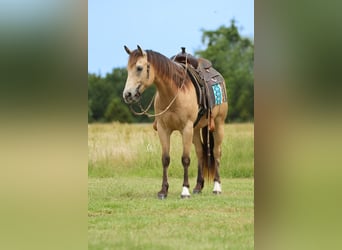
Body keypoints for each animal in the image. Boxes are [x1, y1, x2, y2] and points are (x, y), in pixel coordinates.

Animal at [122, 45, 227, 199]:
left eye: (139, 68)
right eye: (128, 69)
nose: (127, 95)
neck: (174, 93)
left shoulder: (186, 129)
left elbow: (185, 159)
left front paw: (185, 190)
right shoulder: (163, 129)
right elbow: (165, 159)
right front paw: (163, 190)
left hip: (218, 125)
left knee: (216, 152)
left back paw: (217, 187)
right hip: (196, 129)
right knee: (200, 152)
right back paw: (198, 186)